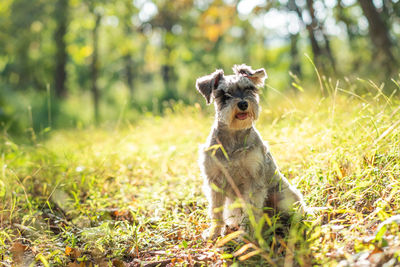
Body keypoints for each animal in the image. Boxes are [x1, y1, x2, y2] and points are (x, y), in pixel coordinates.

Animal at [196, 65, 306, 241]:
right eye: (224, 94)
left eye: (249, 88)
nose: (242, 103)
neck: (234, 135)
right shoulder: (215, 181)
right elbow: (216, 210)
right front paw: (214, 233)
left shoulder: (253, 180)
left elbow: (251, 211)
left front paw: (247, 235)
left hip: (283, 198)